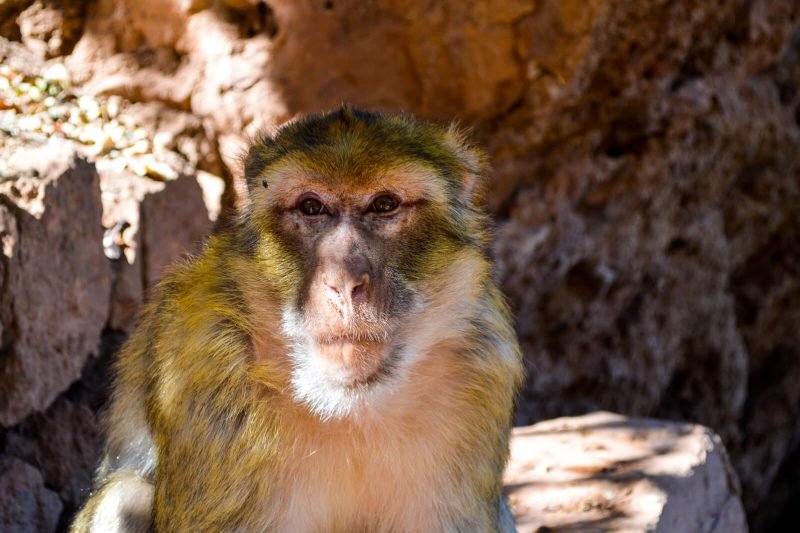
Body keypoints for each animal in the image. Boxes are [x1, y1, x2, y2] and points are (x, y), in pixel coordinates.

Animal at [72, 106, 520, 528]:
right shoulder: (203, 363)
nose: (343, 281)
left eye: (383, 205)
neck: (347, 404)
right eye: (311, 207)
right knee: (124, 496)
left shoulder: (481, 370)